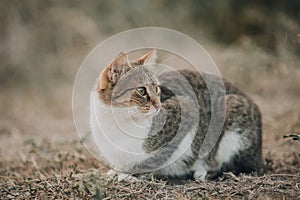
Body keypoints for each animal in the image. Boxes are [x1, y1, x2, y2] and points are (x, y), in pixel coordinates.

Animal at [89, 49, 262, 181]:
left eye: (157, 88)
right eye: (141, 90)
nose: (158, 105)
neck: (117, 121)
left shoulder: (187, 108)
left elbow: (153, 159)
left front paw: (128, 173)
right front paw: (118, 169)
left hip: (230, 112)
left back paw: (204, 171)